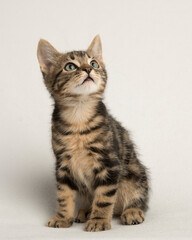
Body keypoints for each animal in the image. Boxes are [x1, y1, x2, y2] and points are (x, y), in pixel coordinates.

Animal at [36, 34, 149, 232]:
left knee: (138, 197)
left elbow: (104, 197)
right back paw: (85, 211)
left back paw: (132, 211)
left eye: (94, 63)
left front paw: (99, 220)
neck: (79, 115)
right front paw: (63, 217)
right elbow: (64, 195)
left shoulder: (109, 163)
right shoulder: (63, 165)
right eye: (70, 66)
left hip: (135, 174)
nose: (88, 69)